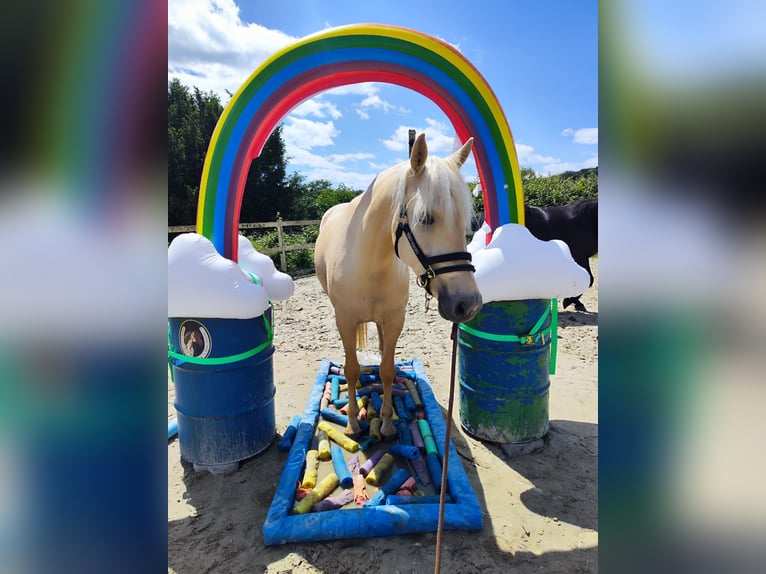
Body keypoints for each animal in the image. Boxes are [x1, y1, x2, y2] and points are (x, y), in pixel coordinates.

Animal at [314, 134, 483, 438]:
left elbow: (387, 369)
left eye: (464, 221)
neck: (371, 263)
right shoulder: (344, 320)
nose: (469, 303)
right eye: (425, 218)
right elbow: (352, 369)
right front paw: (354, 422)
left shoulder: (394, 320)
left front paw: (387, 422)